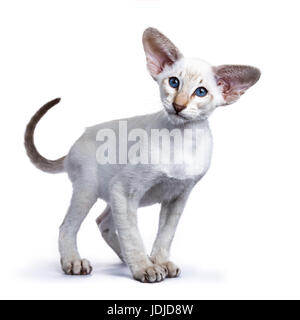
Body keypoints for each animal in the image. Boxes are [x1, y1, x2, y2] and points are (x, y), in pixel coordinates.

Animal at [24, 27, 260, 282]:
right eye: (174, 82)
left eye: (201, 92)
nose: (178, 105)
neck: (182, 138)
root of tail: (76, 141)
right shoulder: (124, 190)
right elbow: (132, 235)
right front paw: (145, 268)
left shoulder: (178, 195)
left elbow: (166, 234)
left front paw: (160, 262)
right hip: (89, 189)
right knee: (67, 226)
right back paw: (74, 262)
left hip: (109, 193)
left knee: (103, 222)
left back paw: (128, 259)